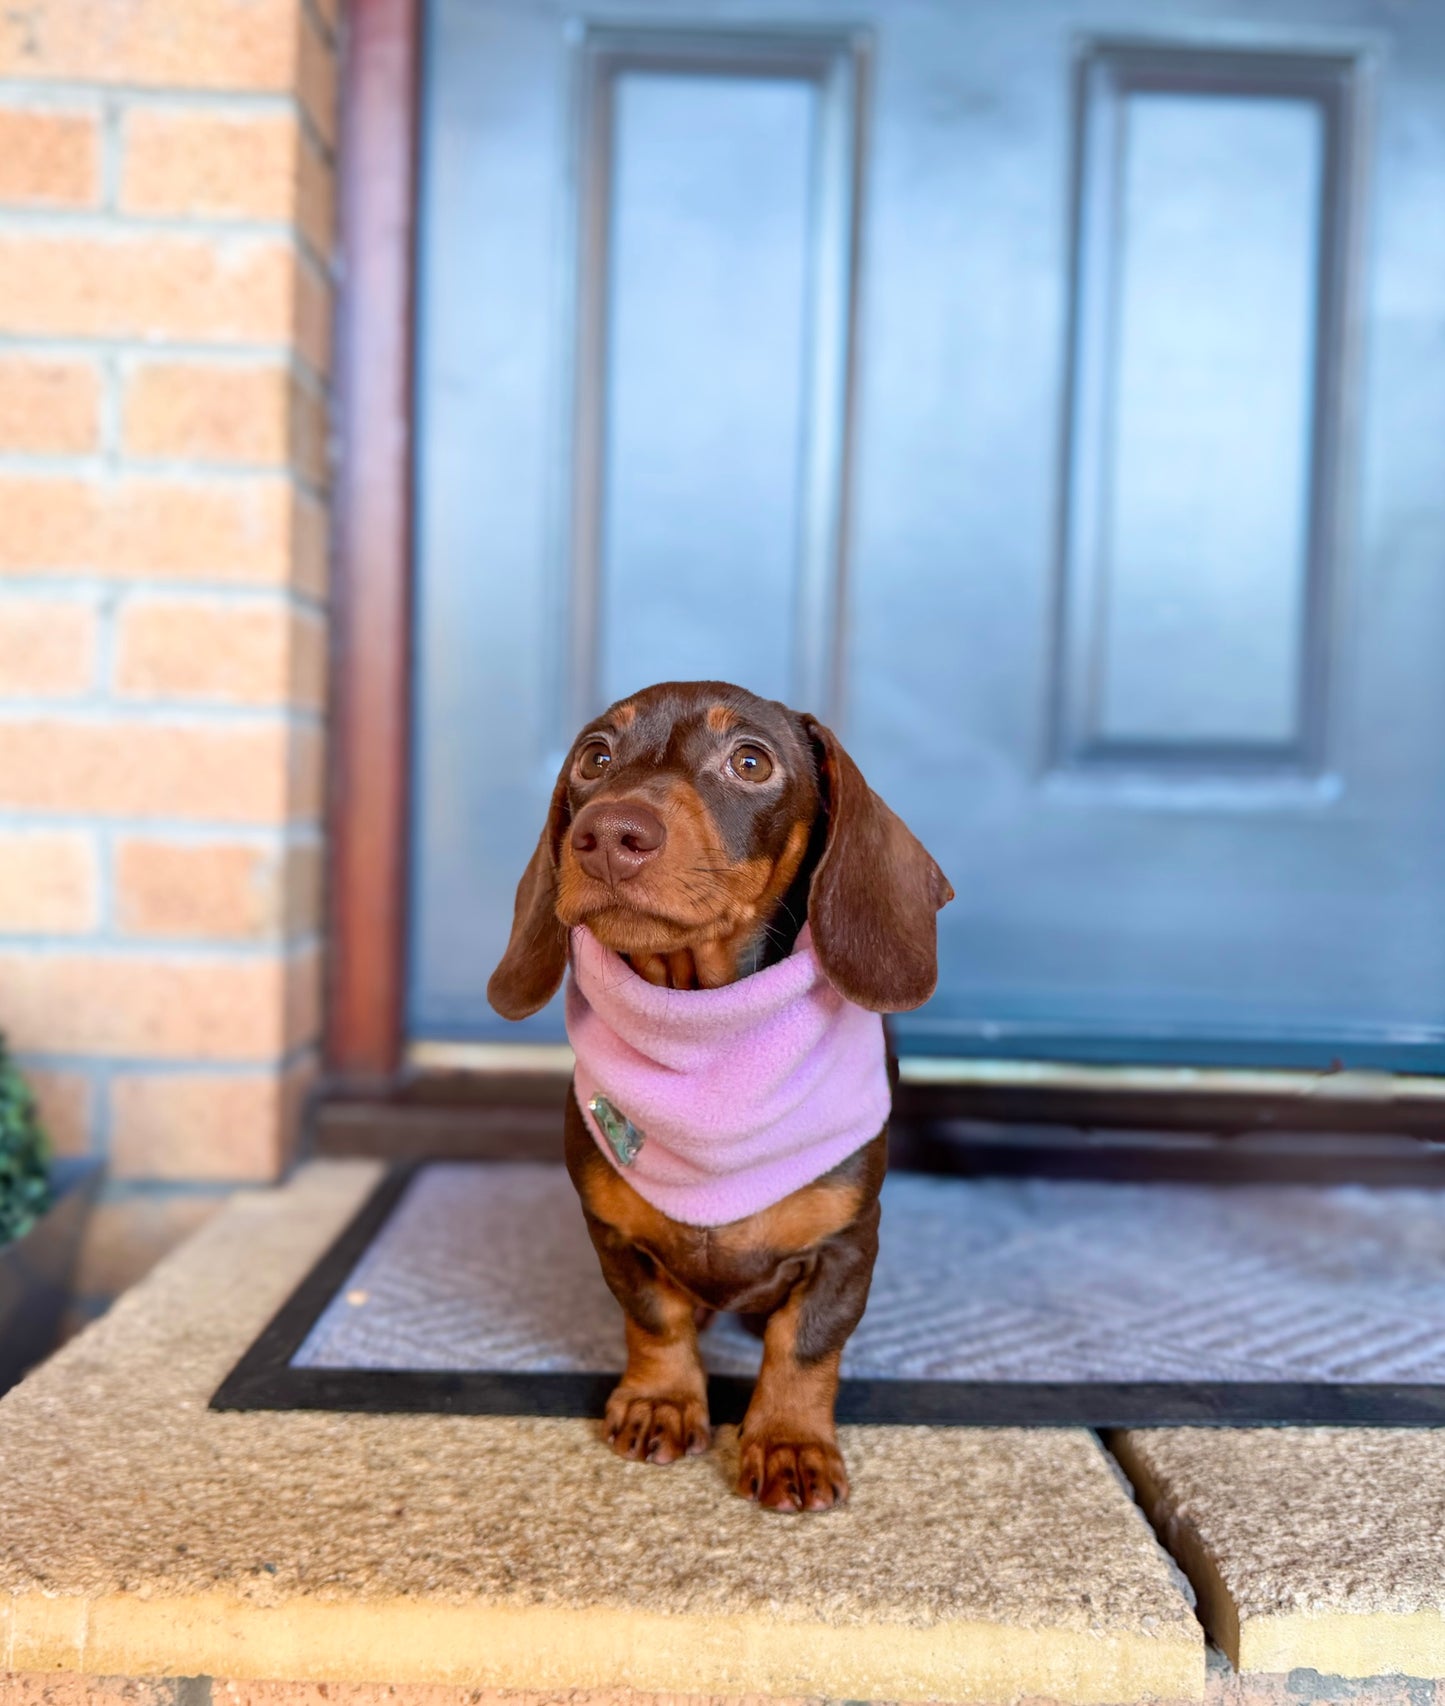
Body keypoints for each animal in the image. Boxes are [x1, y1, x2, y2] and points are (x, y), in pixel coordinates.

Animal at [491, 678, 955, 1508]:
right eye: (593, 757)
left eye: (749, 761)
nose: (608, 833)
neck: (704, 1040)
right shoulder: (614, 1236)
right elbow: (655, 1319)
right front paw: (661, 1401)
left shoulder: (846, 1246)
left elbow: (805, 1345)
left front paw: (790, 1443)